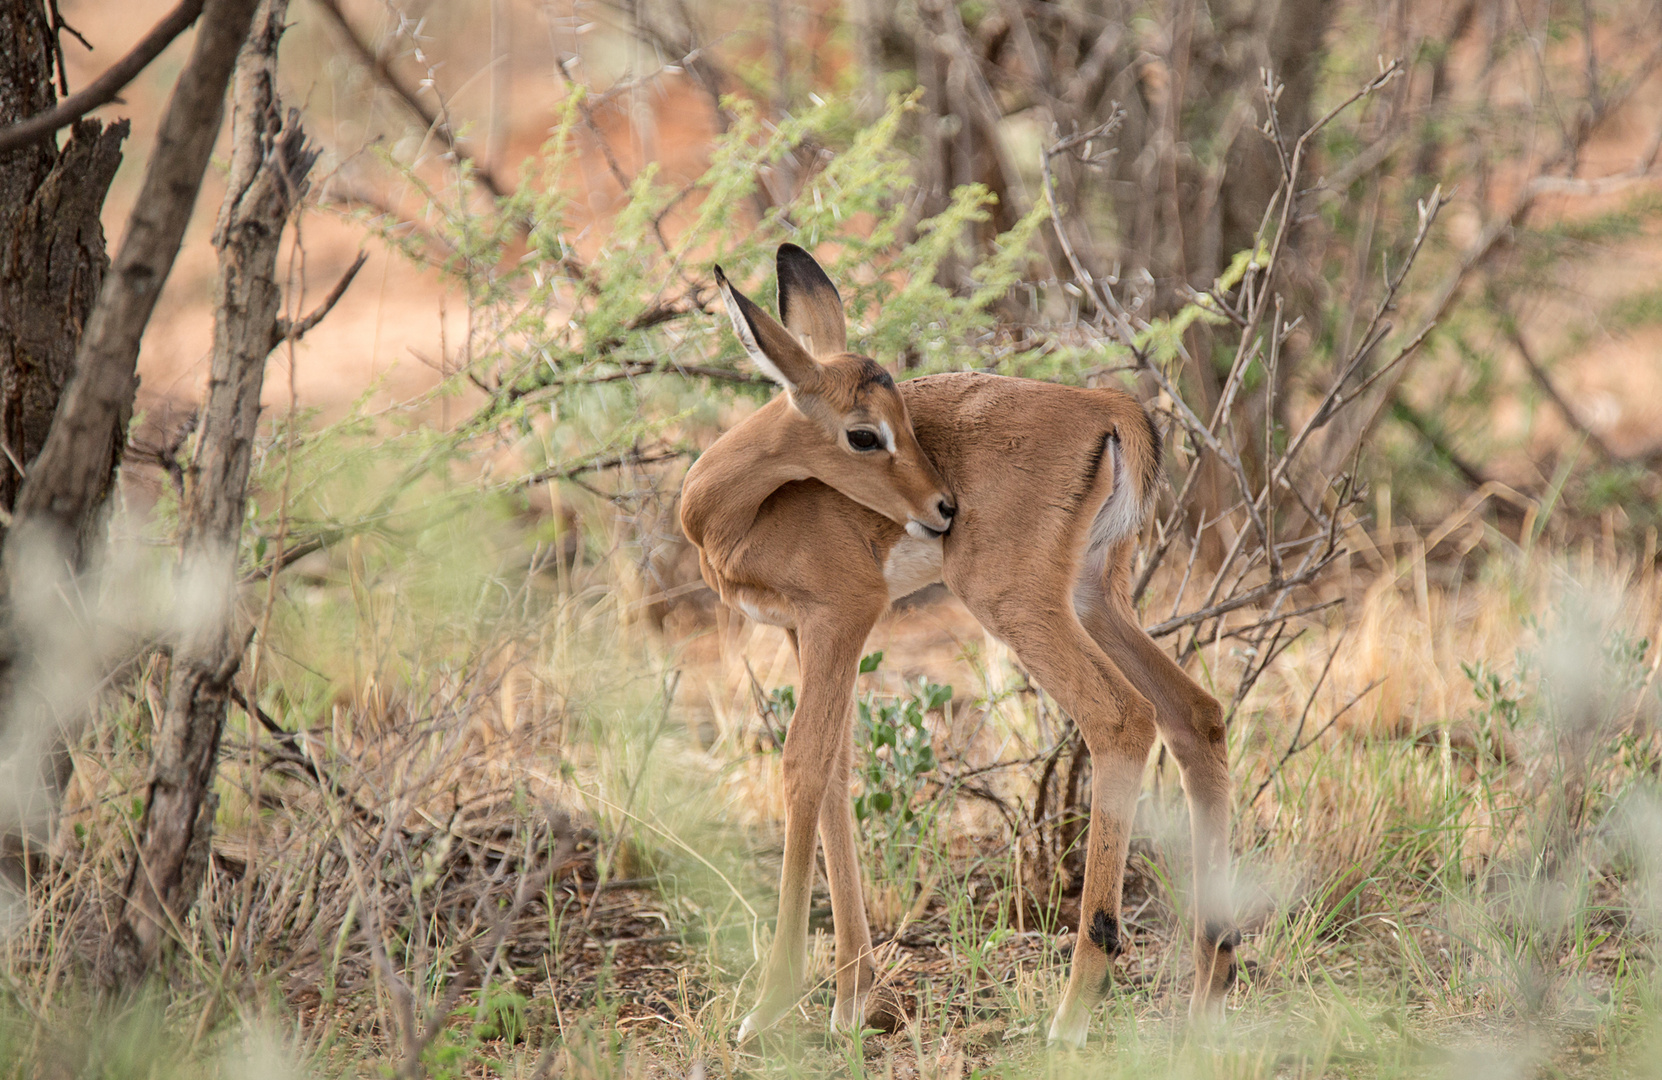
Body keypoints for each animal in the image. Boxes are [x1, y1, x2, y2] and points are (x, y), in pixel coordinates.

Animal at [674, 245, 1236, 1043]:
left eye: (892, 423)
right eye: (866, 430)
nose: (940, 510)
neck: (737, 514)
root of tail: (1108, 409)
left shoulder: (840, 618)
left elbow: (803, 767)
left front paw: (769, 1005)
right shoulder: (802, 632)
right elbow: (838, 773)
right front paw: (853, 1000)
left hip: (1015, 604)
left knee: (1123, 718)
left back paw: (1072, 1014)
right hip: (1095, 599)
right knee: (1195, 713)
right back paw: (1208, 997)